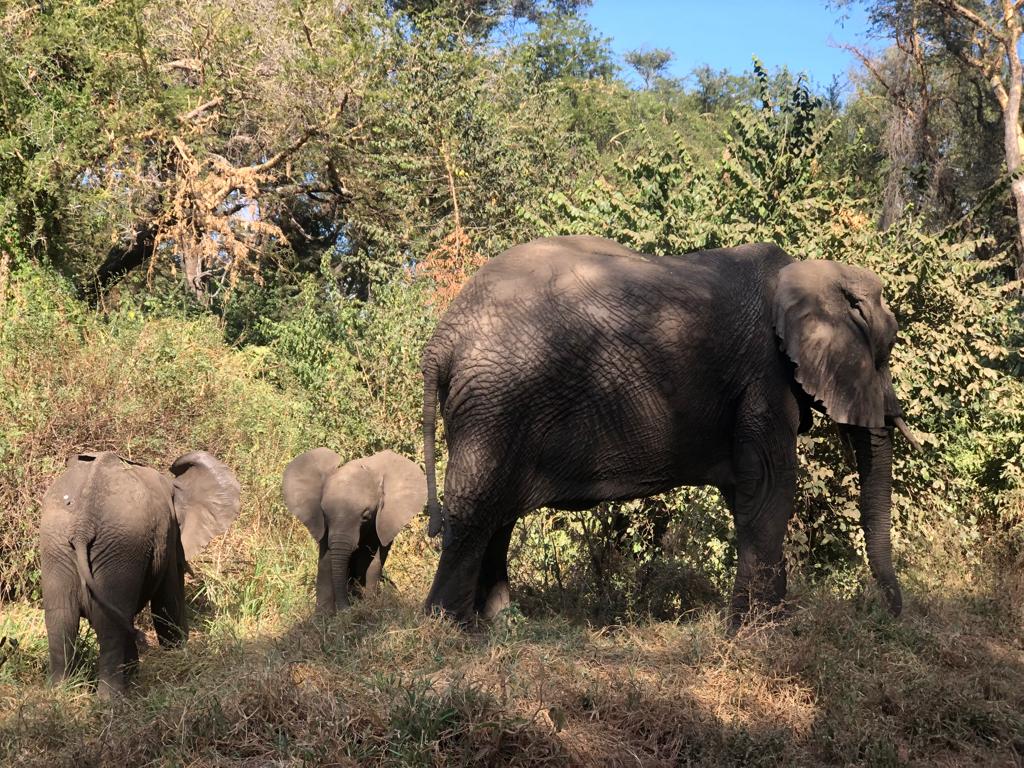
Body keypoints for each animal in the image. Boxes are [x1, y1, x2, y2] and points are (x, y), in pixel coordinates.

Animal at [39, 450, 239, 696]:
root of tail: (83, 525)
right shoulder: (169, 537)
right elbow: (167, 603)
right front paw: (177, 654)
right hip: (121, 542)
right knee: (110, 623)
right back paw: (113, 698)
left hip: (56, 542)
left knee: (61, 618)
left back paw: (59, 694)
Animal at [282, 448, 425, 618]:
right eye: (325, 514)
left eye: (366, 516)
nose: (347, 609)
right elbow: (326, 561)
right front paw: (323, 617)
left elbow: (372, 560)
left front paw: (369, 606)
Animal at [419, 234, 917, 626]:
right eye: (885, 352)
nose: (890, 615)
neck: (809, 273)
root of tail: (443, 337)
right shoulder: (762, 378)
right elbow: (770, 486)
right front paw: (759, 632)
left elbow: (748, 495)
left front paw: (766, 623)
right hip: (495, 400)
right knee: (477, 506)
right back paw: (450, 629)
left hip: (496, 405)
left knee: (498, 513)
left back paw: (501, 623)